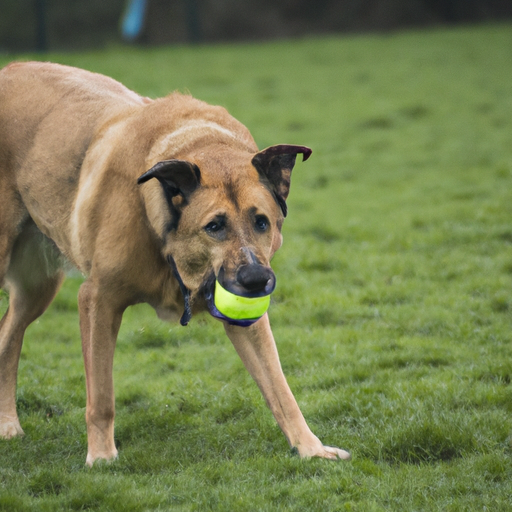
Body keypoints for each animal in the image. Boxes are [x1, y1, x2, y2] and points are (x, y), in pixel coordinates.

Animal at [0, 62, 348, 466]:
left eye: (262, 222)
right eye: (214, 226)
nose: (257, 280)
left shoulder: (247, 319)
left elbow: (280, 388)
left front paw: (311, 448)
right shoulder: (98, 299)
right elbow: (101, 396)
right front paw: (101, 458)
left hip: (38, 288)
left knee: (8, 335)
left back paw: (8, 425)